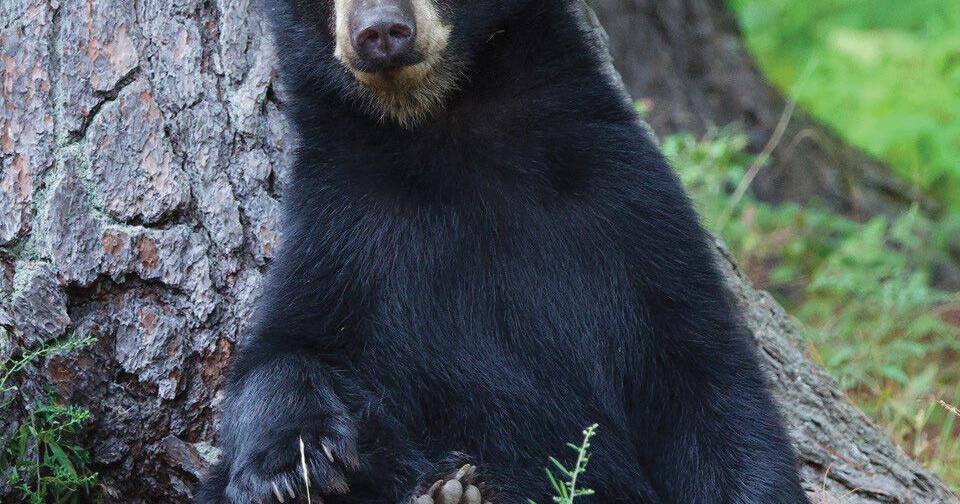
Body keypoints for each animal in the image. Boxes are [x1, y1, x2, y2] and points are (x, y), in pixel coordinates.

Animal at [196, 0, 808, 502]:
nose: (381, 30)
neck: (442, 126)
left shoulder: (625, 197)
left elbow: (704, 376)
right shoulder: (343, 223)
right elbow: (284, 345)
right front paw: (296, 463)